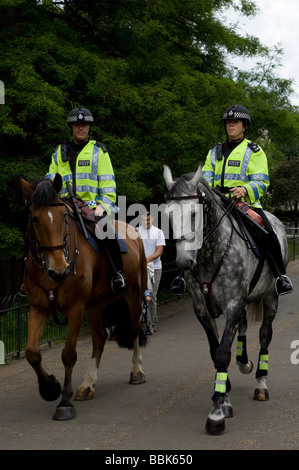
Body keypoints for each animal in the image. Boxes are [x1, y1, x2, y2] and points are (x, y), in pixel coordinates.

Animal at [19, 173, 149, 422]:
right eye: (35, 219)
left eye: (63, 217)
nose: (59, 270)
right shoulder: (38, 308)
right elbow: (32, 353)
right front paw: (49, 388)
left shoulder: (75, 309)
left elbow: (68, 354)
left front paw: (64, 402)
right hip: (94, 306)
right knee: (99, 338)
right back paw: (87, 385)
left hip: (134, 294)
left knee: (135, 328)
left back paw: (137, 371)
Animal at [164, 164, 290, 434]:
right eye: (168, 215)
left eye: (194, 213)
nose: (183, 262)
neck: (210, 254)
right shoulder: (202, 309)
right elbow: (216, 352)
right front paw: (225, 398)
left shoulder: (232, 304)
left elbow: (223, 353)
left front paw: (216, 412)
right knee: (243, 326)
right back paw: (243, 361)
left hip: (271, 297)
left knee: (265, 335)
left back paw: (261, 383)